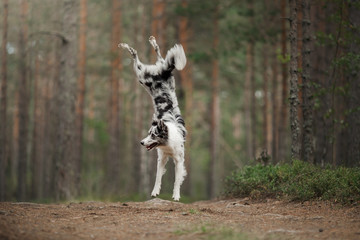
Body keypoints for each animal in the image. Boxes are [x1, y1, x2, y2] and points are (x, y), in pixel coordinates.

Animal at [119, 35, 187, 201]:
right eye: (148, 133)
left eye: (153, 135)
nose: (141, 142)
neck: (167, 144)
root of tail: (162, 73)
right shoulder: (161, 158)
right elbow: (157, 177)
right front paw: (155, 192)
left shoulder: (179, 160)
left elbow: (177, 180)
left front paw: (176, 195)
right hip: (143, 78)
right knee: (150, 56)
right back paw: (135, 44)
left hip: (143, 76)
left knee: (151, 57)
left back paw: (143, 44)